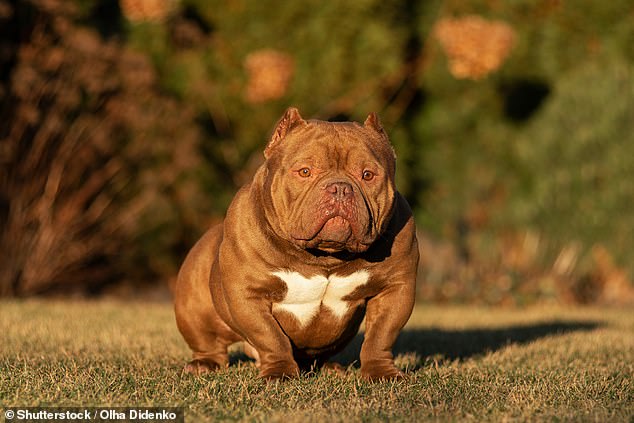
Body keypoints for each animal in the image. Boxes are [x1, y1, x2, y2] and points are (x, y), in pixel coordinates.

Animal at [175, 107, 418, 382]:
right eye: (304, 172)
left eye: (367, 175)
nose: (340, 188)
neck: (324, 256)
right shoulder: (248, 294)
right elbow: (271, 337)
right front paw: (279, 372)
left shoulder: (395, 288)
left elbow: (380, 336)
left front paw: (381, 372)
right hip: (195, 308)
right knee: (210, 343)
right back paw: (203, 364)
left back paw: (330, 367)